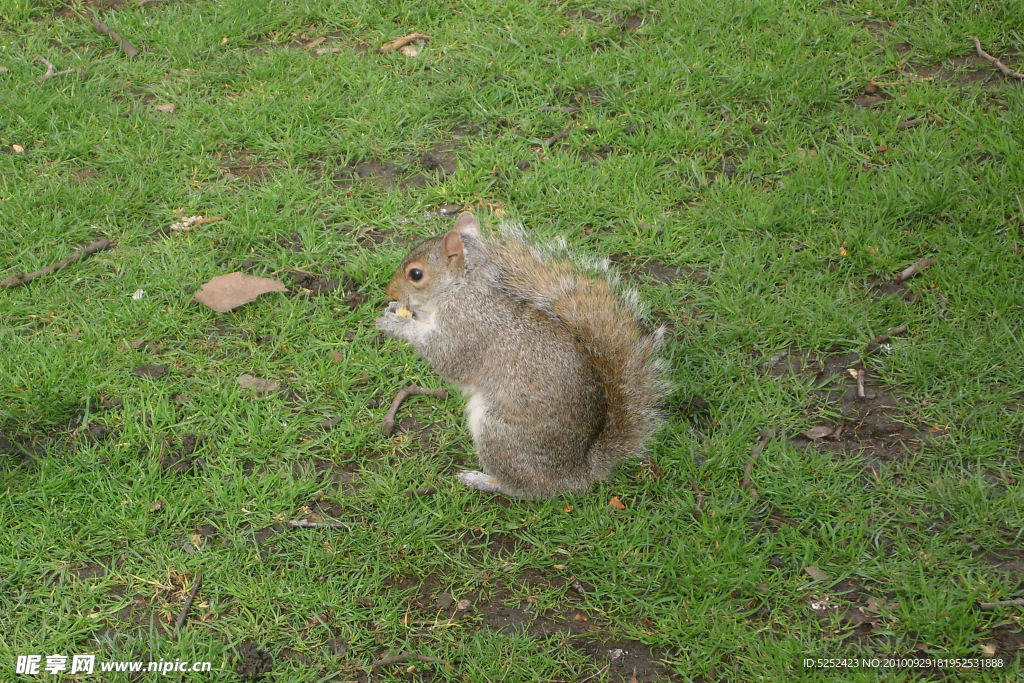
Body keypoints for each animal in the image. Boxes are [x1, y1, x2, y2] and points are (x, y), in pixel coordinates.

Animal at [374, 210, 663, 499]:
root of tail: (574, 474)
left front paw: (396, 324)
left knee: (523, 488)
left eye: (416, 274)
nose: (389, 291)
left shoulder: (468, 328)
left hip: (499, 435)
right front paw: (396, 309)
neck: (461, 289)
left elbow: (446, 357)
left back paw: (481, 480)